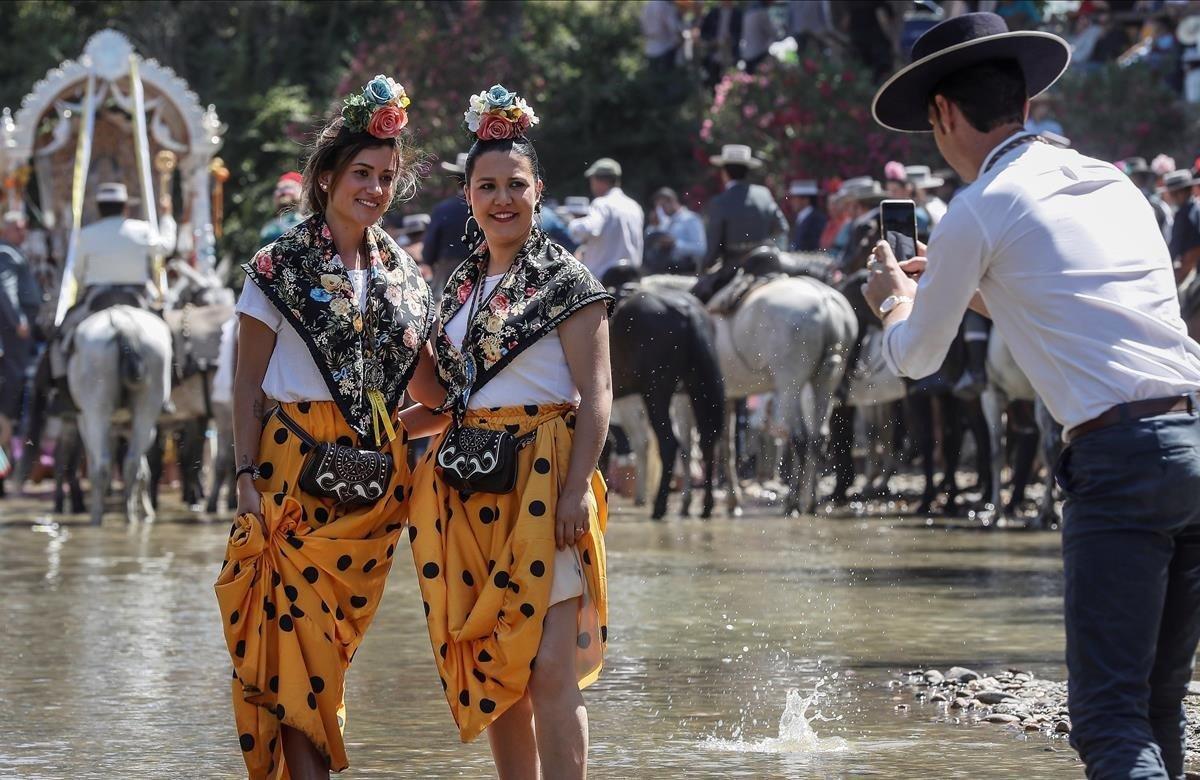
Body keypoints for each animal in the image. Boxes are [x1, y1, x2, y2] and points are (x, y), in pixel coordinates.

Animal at [68, 304, 174, 523]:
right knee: (131, 463)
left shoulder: (84, 420)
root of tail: (123, 322)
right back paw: (130, 514)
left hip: (96, 410)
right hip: (146, 408)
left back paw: (97, 517)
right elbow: (142, 468)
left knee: (101, 466)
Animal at [652, 273, 859, 516]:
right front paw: (732, 501)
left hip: (790, 385)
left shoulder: (685, 399)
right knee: (818, 439)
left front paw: (686, 502)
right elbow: (727, 447)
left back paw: (794, 502)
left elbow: (687, 448)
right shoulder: (726, 397)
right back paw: (810, 502)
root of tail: (825, 300)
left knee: (800, 439)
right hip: (824, 383)